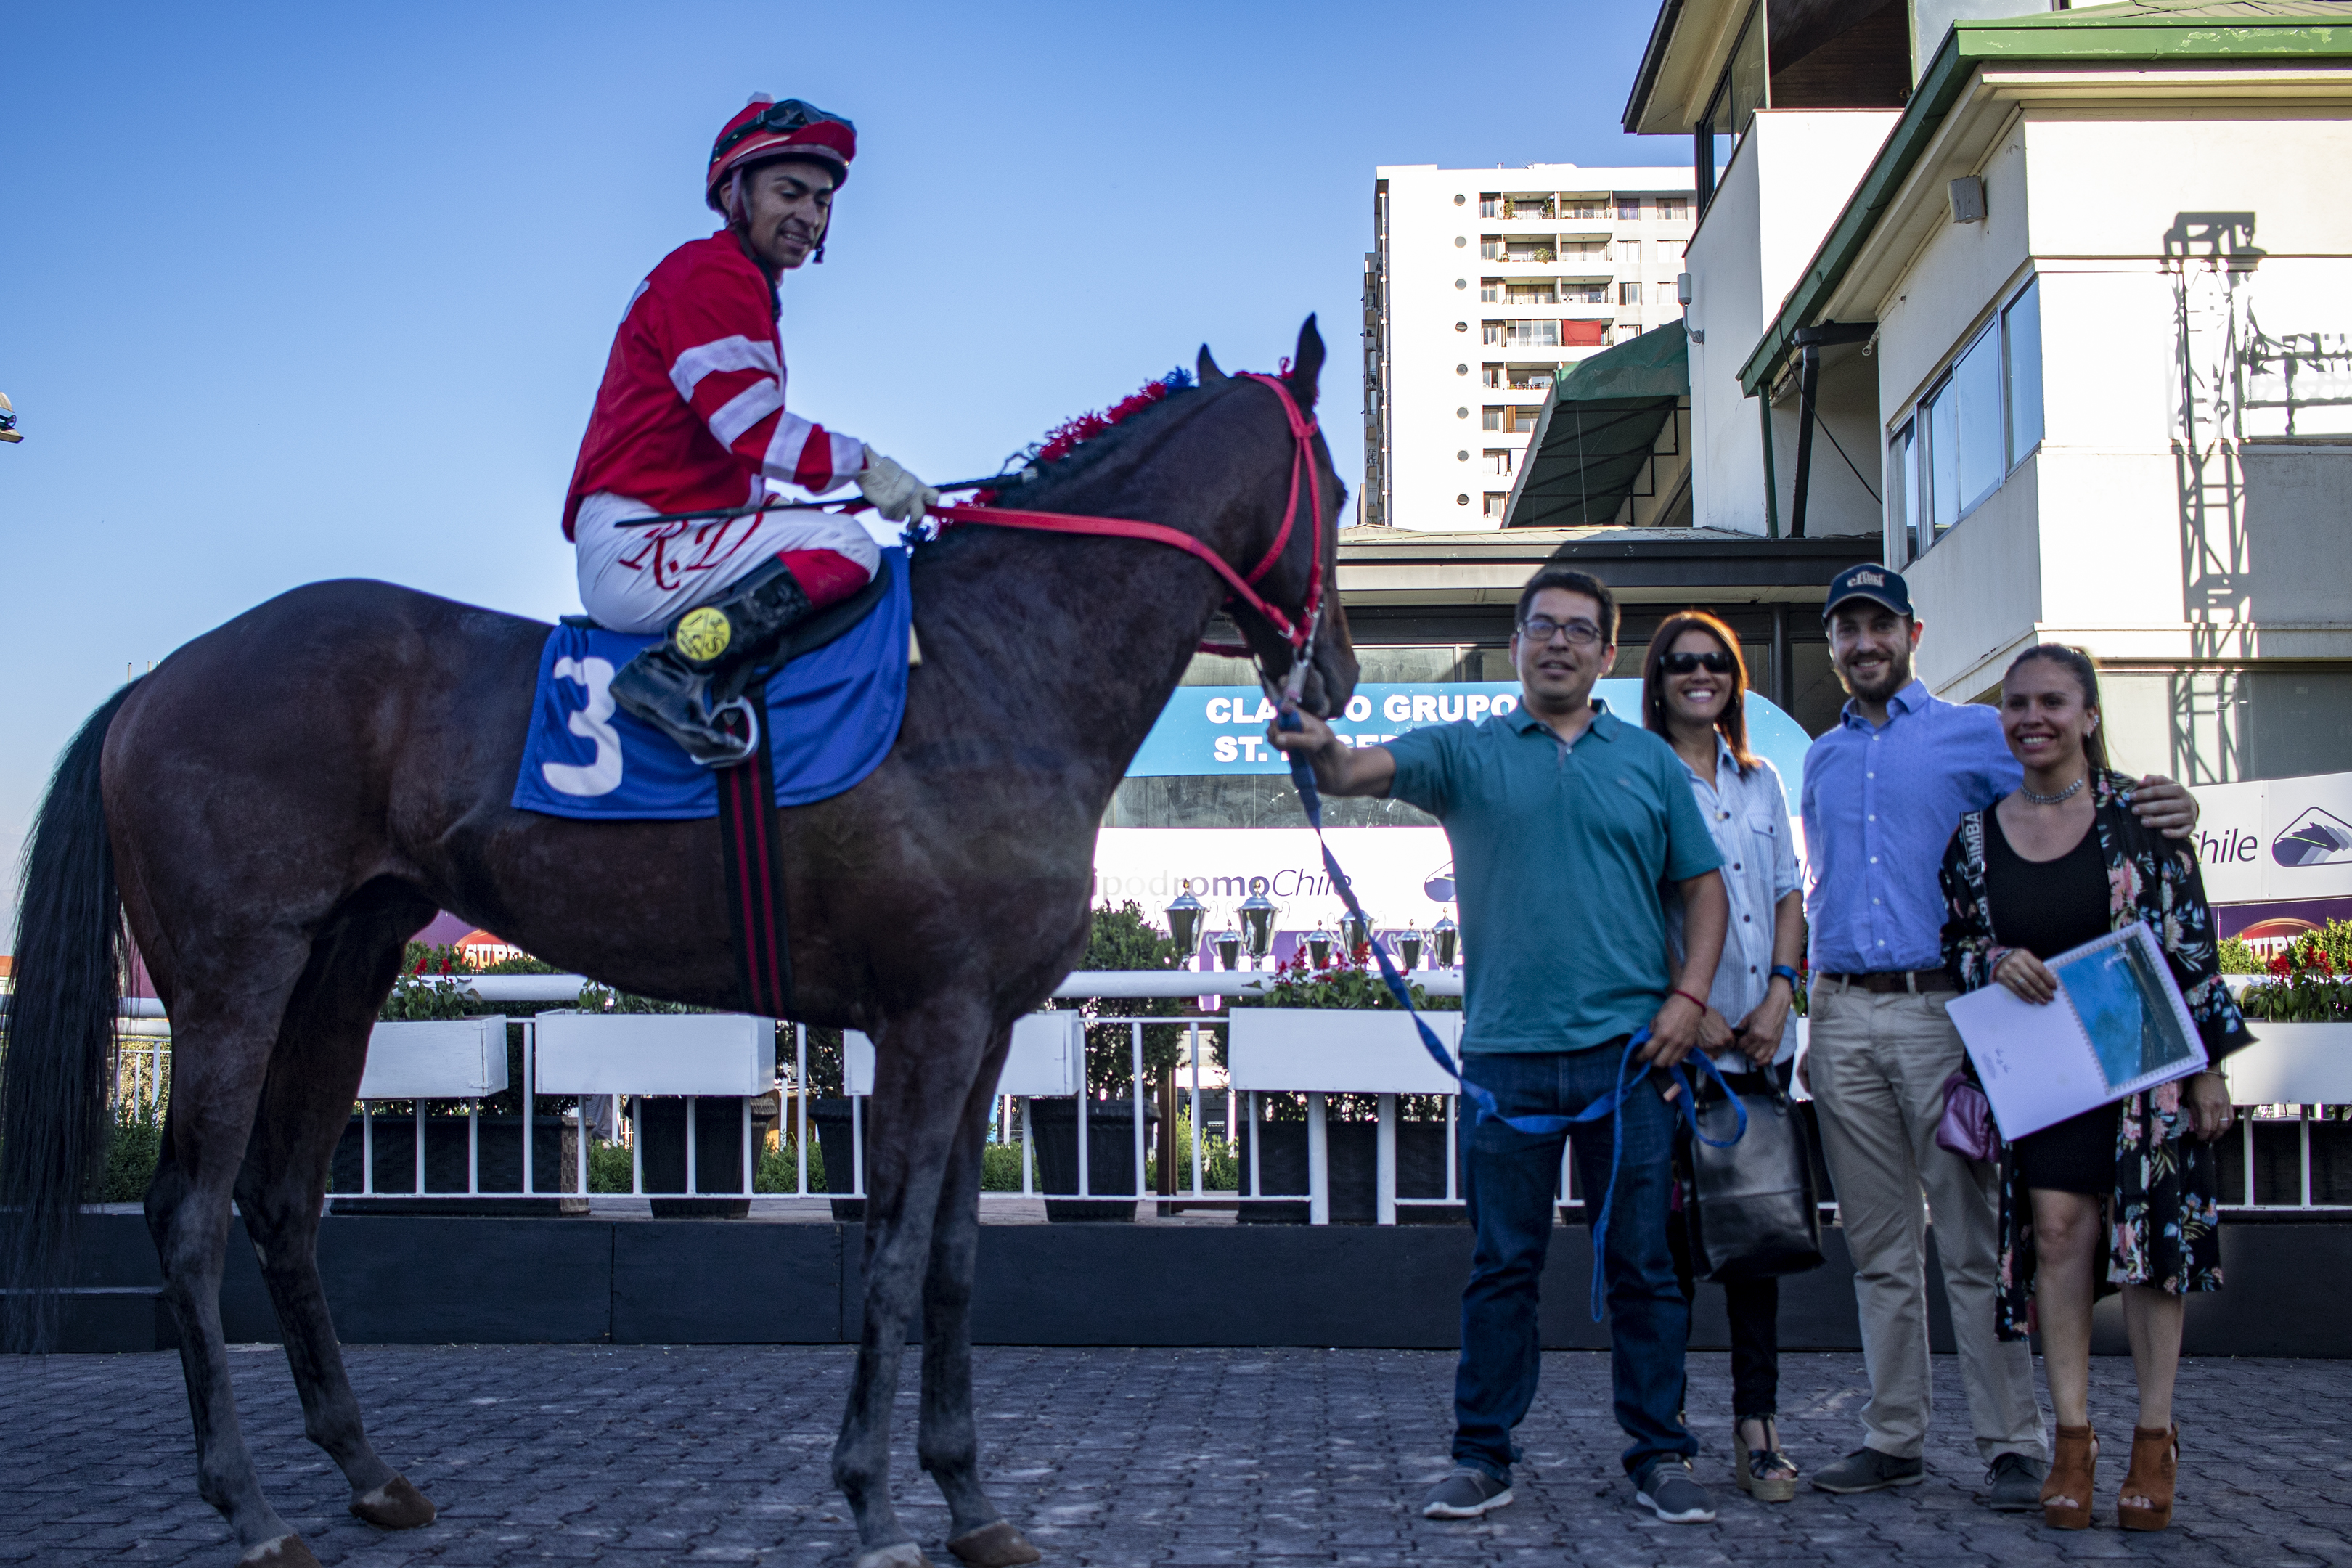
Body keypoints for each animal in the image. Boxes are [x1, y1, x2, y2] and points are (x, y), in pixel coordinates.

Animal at [1, 319, 1359, 1568]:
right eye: (1339, 492)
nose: (1338, 673)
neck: (998, 669)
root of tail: (157, 680)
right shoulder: (930, 1017)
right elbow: (892, 1252)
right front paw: (873, 1505)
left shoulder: (987, 1029)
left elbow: (956, 1260)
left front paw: (972, 1501)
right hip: (231, 977)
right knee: (188, 1213)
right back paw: (249, 1506)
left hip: (342, 971)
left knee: (283, 1201)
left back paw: (366, 1469)